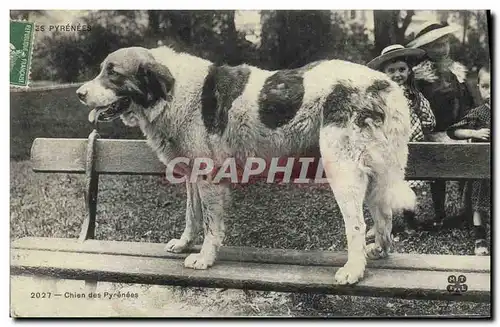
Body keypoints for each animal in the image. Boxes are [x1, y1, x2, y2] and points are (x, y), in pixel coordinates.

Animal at [76, 45, 416, 284]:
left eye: (113, 74)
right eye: (102, 70)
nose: (79, 93)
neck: (171, 93)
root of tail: (384, 83)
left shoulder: (210, 177)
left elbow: (211, 224)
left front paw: (204, 258)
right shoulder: (193, 175)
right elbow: (191, 216)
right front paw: (184, 244)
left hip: (342, 169)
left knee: (356, 225)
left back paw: (354, 270)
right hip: (373, 173)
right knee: (383, 216)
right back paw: (379, 251)